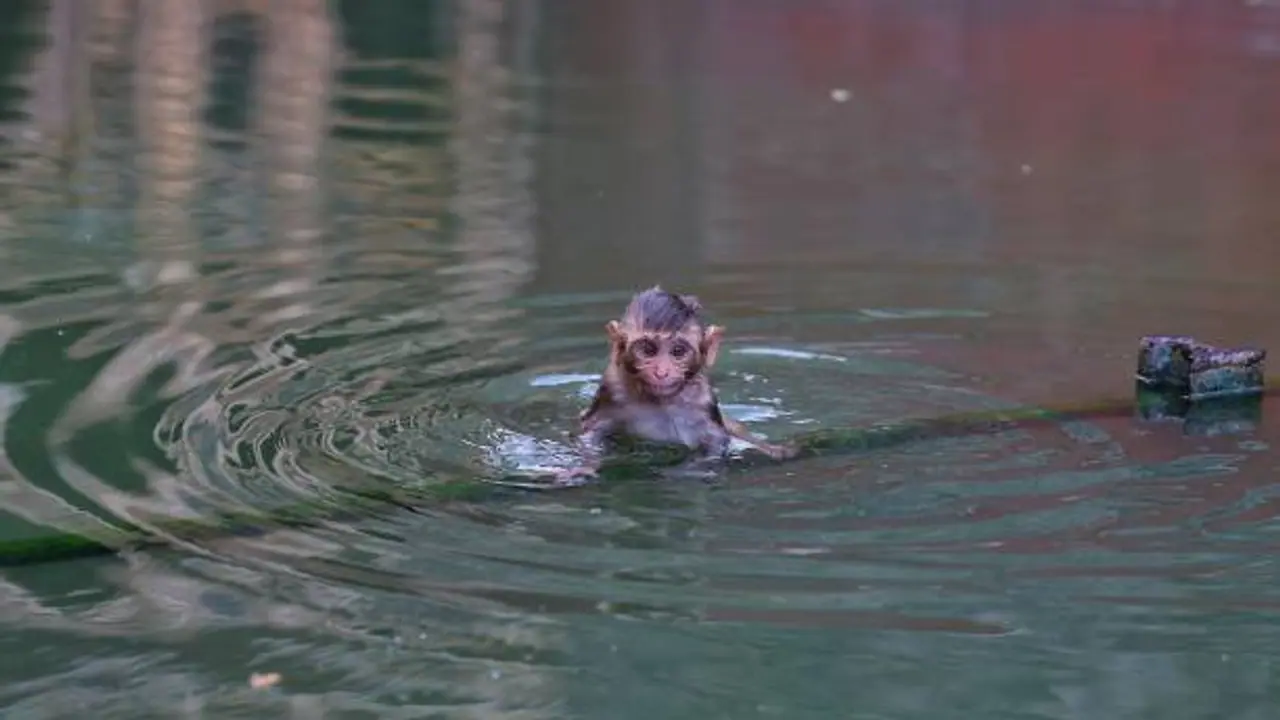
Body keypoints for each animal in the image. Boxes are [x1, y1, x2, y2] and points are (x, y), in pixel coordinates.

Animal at [554, 286, 798, 484]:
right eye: (648, 350)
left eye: (678, 351)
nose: (662, 372)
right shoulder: (611, 390)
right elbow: (592, 435)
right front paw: (582, 469)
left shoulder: (702, 401)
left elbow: (715, 442)